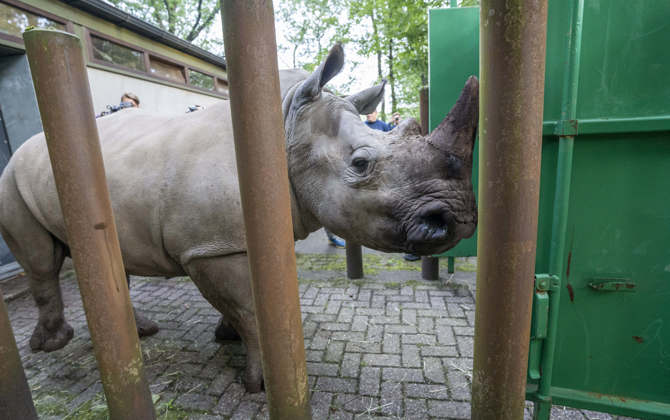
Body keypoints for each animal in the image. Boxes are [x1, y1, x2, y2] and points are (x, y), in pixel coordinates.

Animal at [0, 45, 478, 392]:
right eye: (361, 164)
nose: (459, 219)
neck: (286, 123)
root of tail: (30, 140)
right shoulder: (208, 247)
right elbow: (249, 306)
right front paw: (260, 384)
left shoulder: (235, 237)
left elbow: (247, 302)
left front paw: (226, 337)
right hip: (12, 178)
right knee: (41, 261)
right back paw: (50, 346)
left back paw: (141, 333)